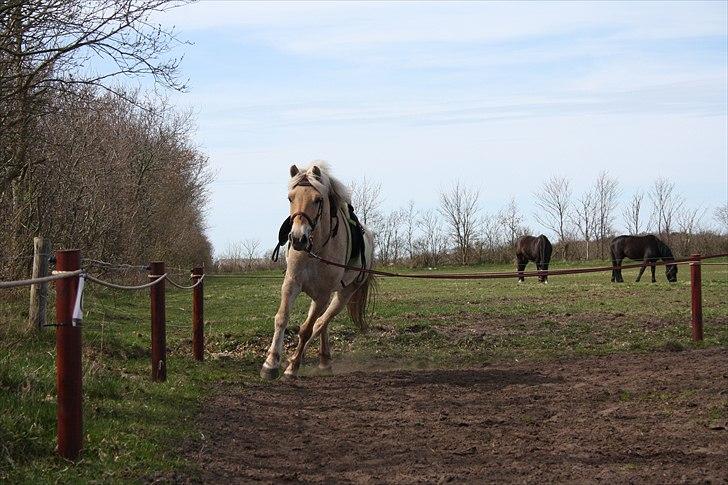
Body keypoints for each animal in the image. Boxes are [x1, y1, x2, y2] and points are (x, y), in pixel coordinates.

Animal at [262, 163, 376, 378]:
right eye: (290, 198)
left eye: (317, 200)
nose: (298, 238)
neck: (315, 250)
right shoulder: (291, 283)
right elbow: (281, 318)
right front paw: (270, 364)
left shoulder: (323, 295)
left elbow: (307, 329)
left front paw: (291, 367)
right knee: (322, 323)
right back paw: (323, 360)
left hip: (343, 294)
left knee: (321, 322)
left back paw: (306, 361)